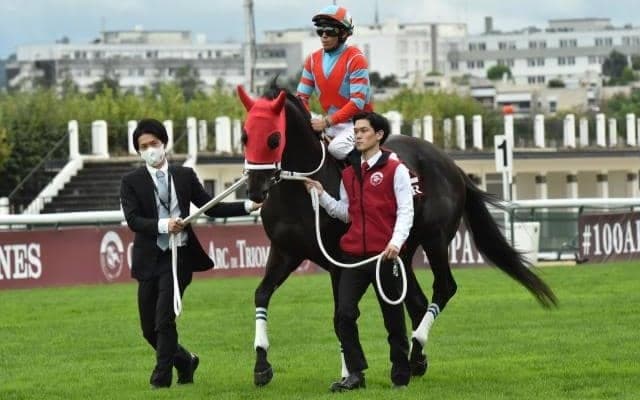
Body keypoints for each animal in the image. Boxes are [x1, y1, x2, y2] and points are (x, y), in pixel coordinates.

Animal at [237, 83, 557, 387]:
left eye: (273, 138)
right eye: (244, 136)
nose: (255, 190)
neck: (300, 191)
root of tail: (450, 164)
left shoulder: (338, 260)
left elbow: (341, 314)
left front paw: (348, 373)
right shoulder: (284, 251)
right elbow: (261, 294)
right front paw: (261, 366)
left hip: (435, 239)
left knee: (444, 287)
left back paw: (415, 349)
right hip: (400, 249)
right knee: (416, 300)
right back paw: (417, 360)